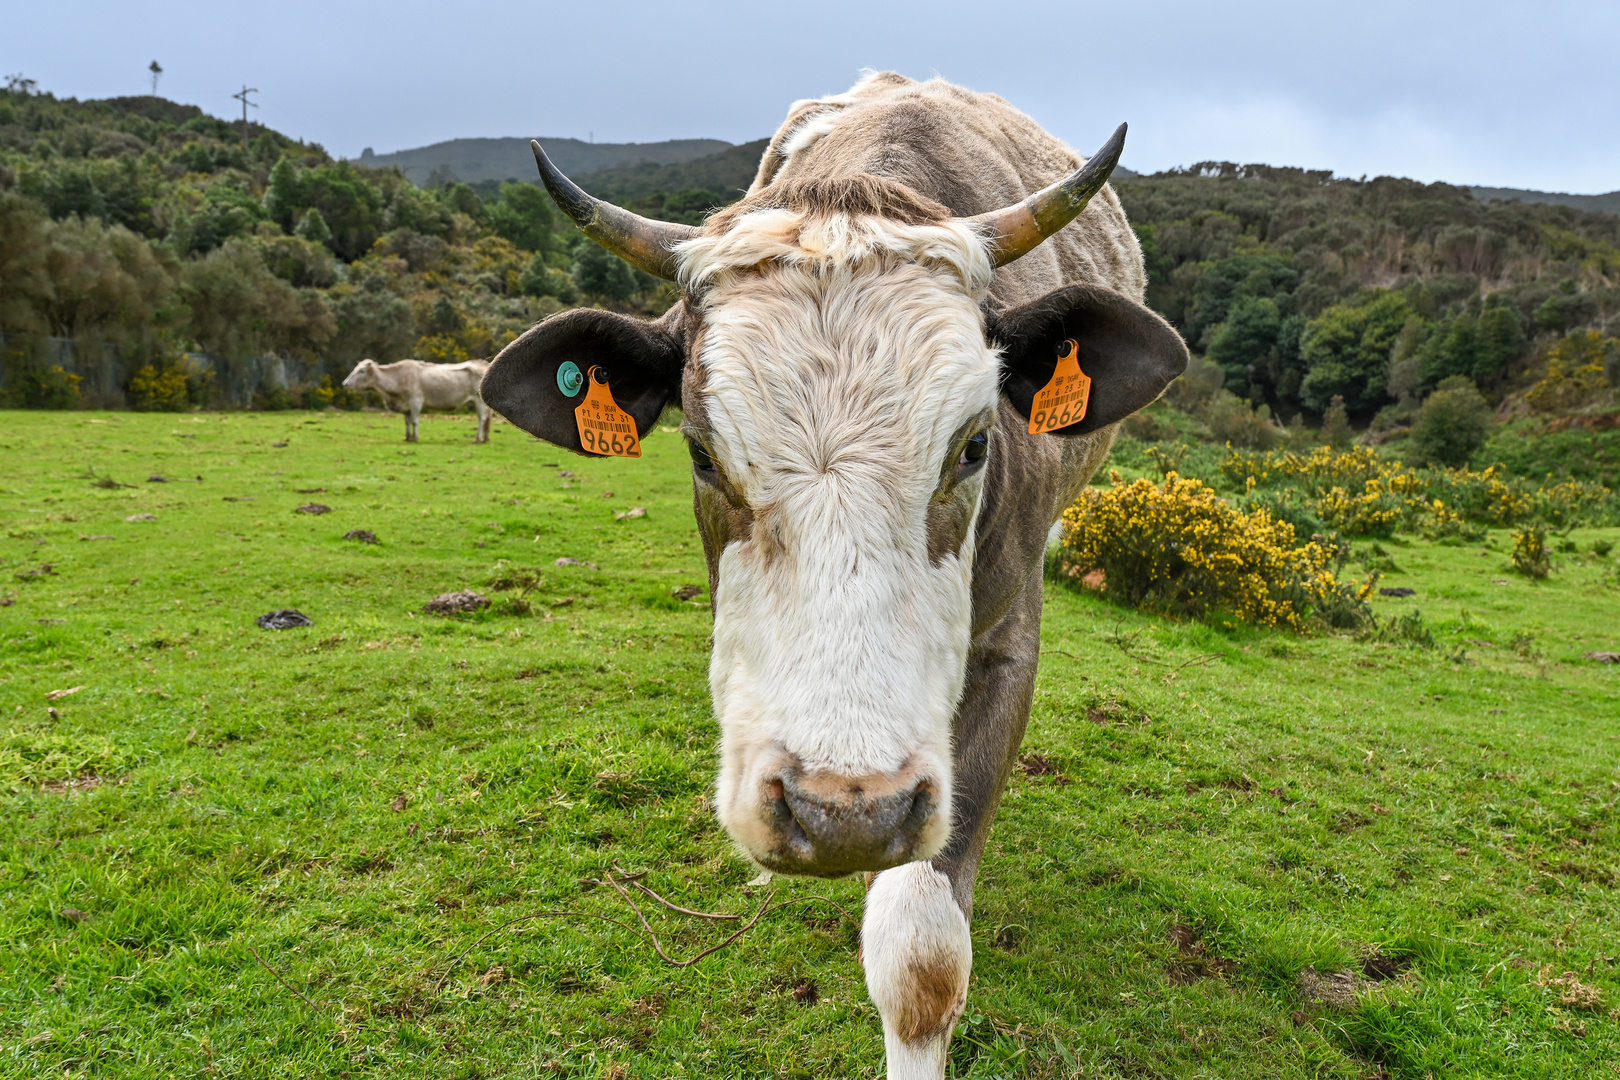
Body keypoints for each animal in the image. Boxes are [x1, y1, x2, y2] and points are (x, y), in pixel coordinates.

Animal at [341, 359, 492, 443]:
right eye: (356, 369)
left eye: (361, 371)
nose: (345, 383)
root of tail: (482, 363)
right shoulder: (406, 405)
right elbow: (407, 422)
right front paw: (407, 437)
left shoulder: (416, 401)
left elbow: (415, 421)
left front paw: (415, 438)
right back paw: (485, 438)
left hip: (479, 401)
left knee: (482, 419)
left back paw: (477, 439)